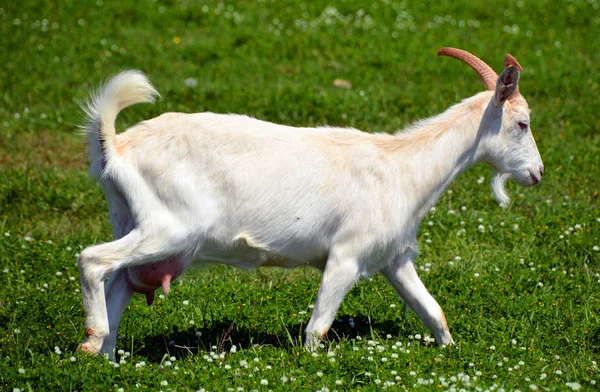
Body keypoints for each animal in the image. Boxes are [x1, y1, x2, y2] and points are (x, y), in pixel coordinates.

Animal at [76, 47, 544, 356]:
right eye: (521, 123)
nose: (537, 173)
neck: (401, 166)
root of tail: (116, 145)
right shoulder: (346, 256)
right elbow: (317, 329)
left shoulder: (394, 257)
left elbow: (432, 310)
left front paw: (451, 351)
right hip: (168, 229)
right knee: (93, 261)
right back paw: (92, 340)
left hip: (133, 222)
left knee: (120, 283)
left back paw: (107, 359)